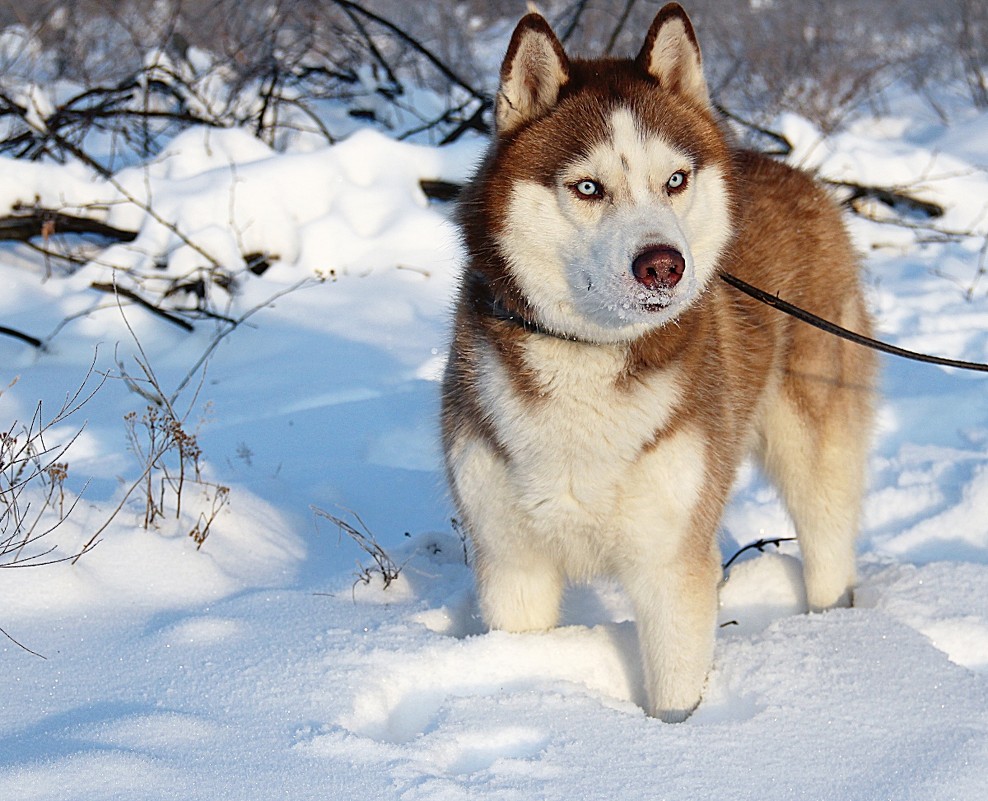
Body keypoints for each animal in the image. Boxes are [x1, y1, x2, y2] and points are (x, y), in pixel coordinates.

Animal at [440, 3, 872, 720]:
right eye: (589, 186)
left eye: (675, 179)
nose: (663, 265)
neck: (587, 356)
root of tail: (794, 173)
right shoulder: (512, 565)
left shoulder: (672, 568)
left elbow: (675, 694)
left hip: (817, 450)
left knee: (828, 542)